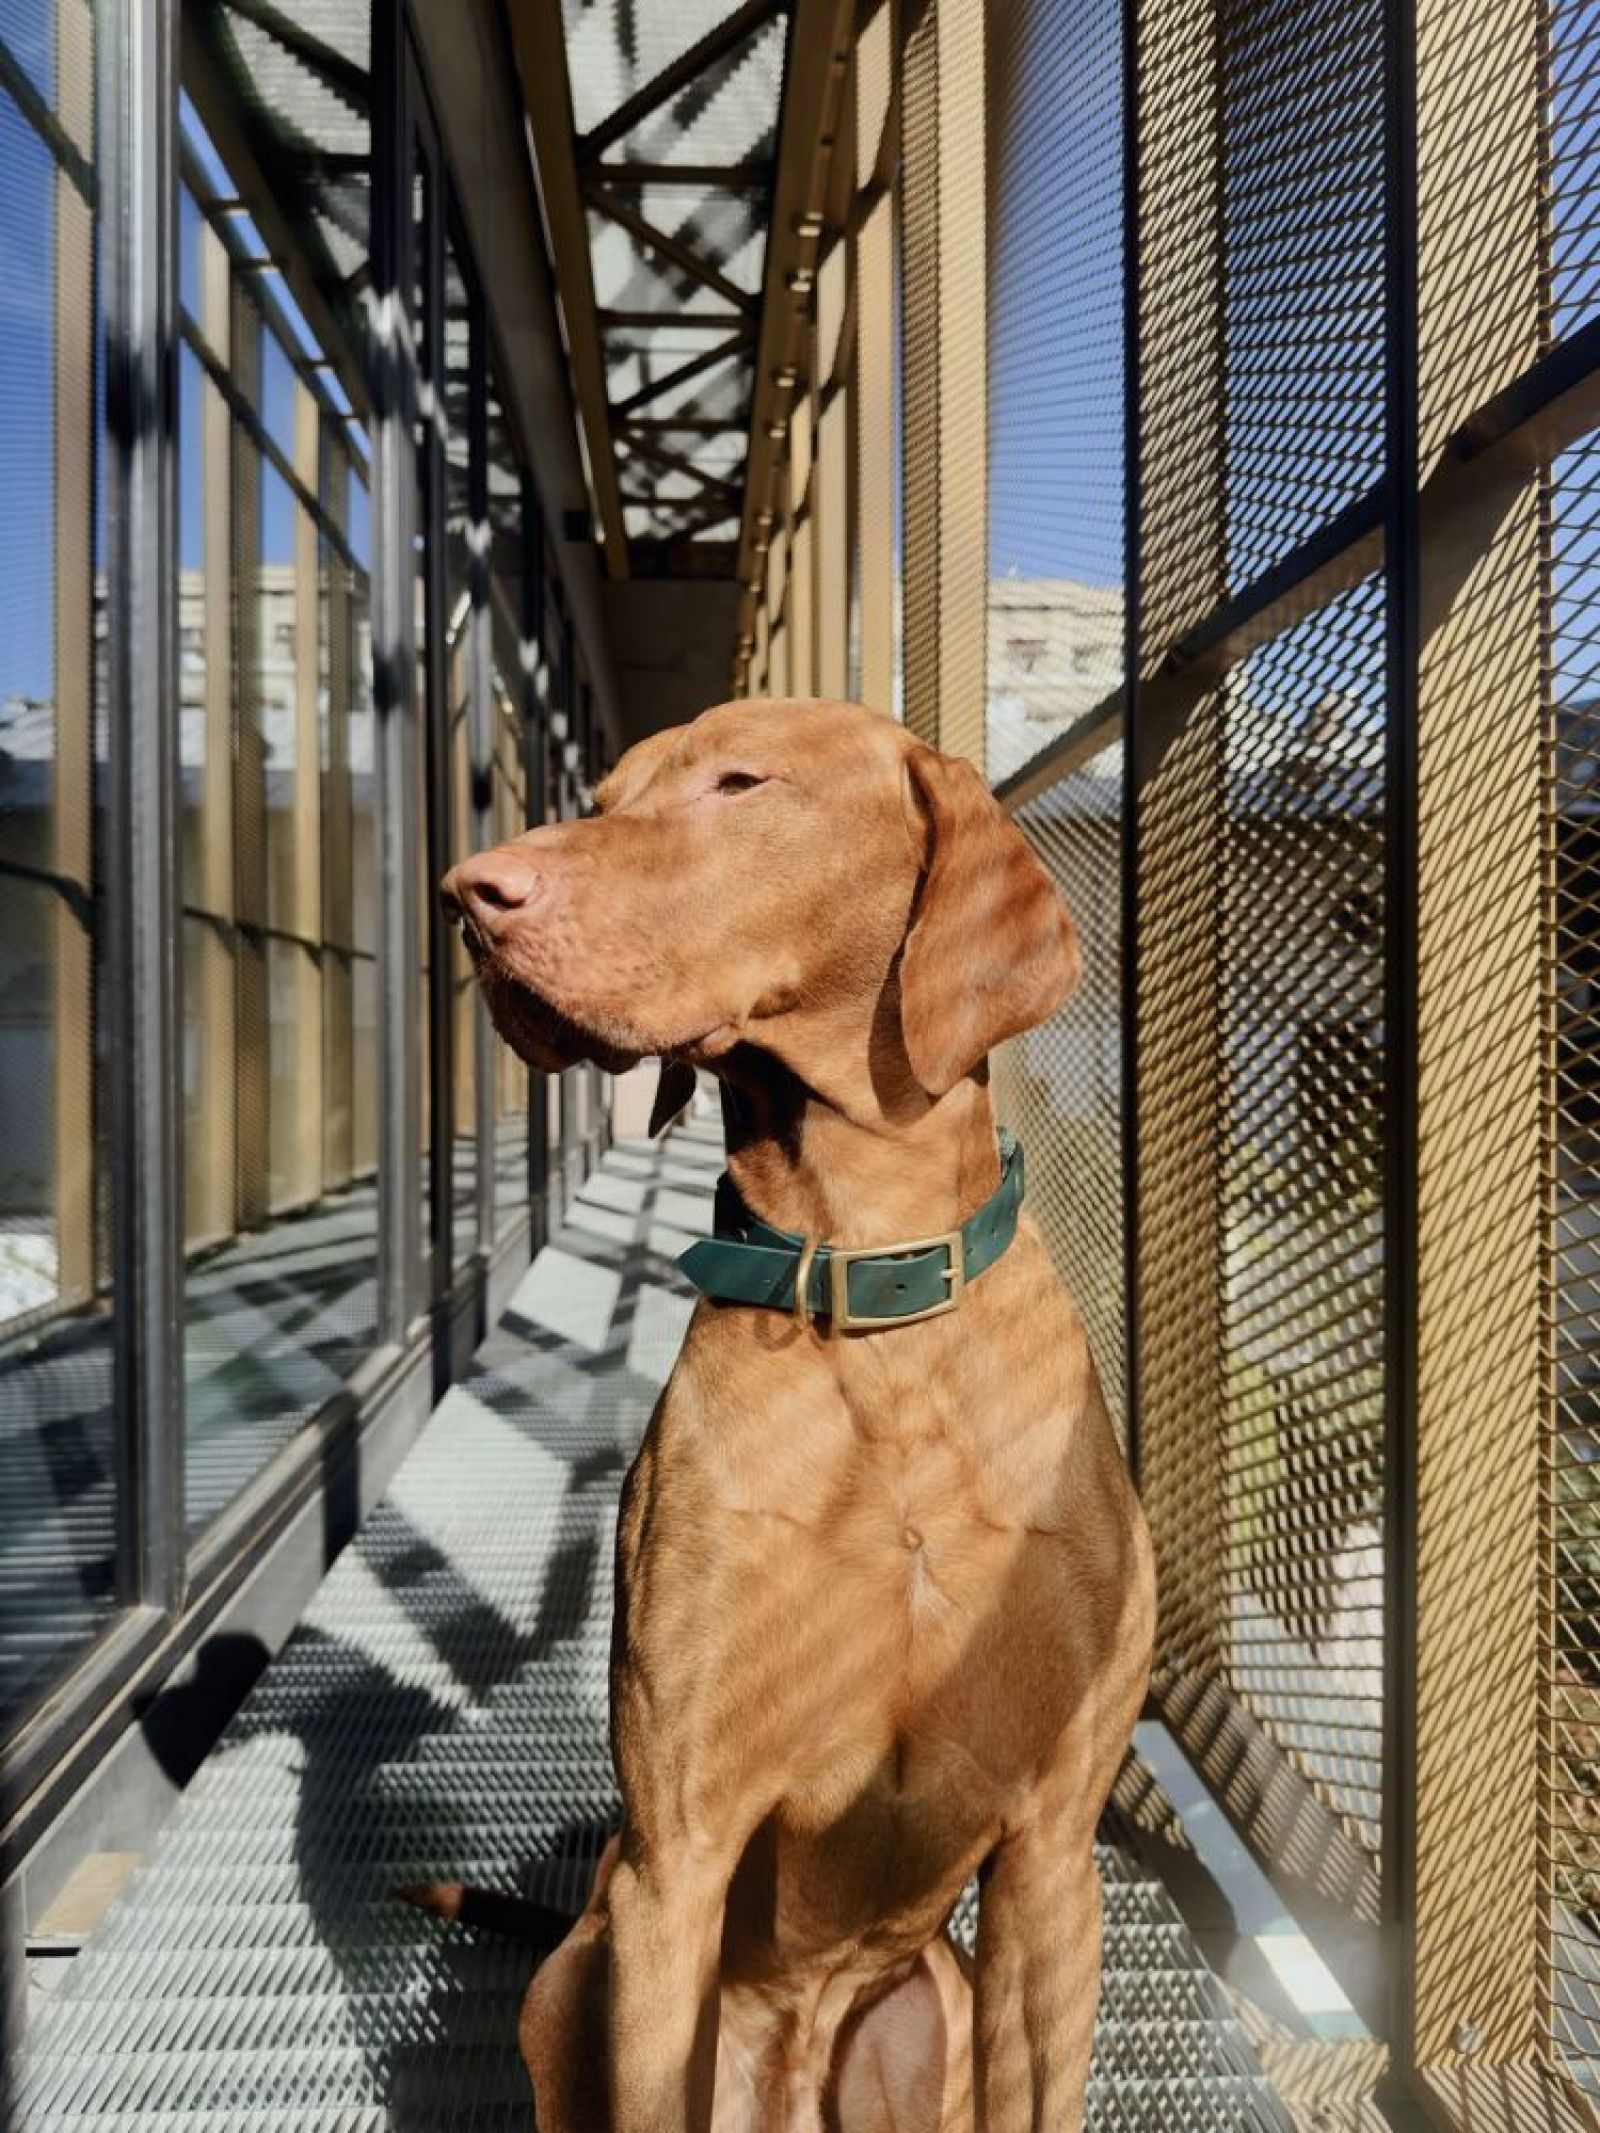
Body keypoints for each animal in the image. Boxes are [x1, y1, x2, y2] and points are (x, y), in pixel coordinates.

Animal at [435, 697, 1155, 2133]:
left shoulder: (1051, 1855)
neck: (873, 1310)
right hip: (577, 1969)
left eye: (740, 781)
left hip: (933, 2000)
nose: (471, 894)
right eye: (604, 796)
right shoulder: (674, 1861)